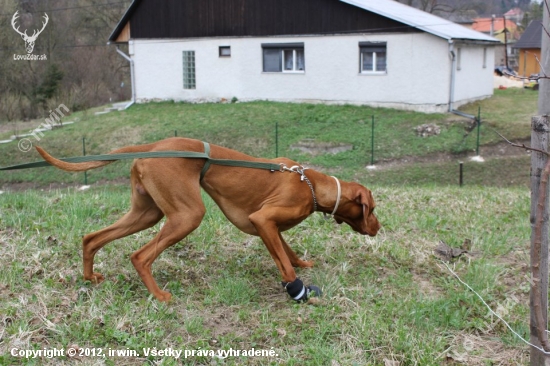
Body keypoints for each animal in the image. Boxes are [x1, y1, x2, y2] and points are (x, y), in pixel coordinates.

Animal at [35, 138, 380, 304]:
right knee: (140, 256)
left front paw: (303, 266)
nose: (379, 228)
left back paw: (89, 277)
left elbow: (287, 251)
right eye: (372, 209)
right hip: (187, 216)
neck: (309, 184)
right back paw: (159, 296)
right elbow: (284, 263)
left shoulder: (267, 226)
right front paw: (297, 289)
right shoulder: (263, 219)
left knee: (91, 238)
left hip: (146, 214)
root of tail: (155, 146)